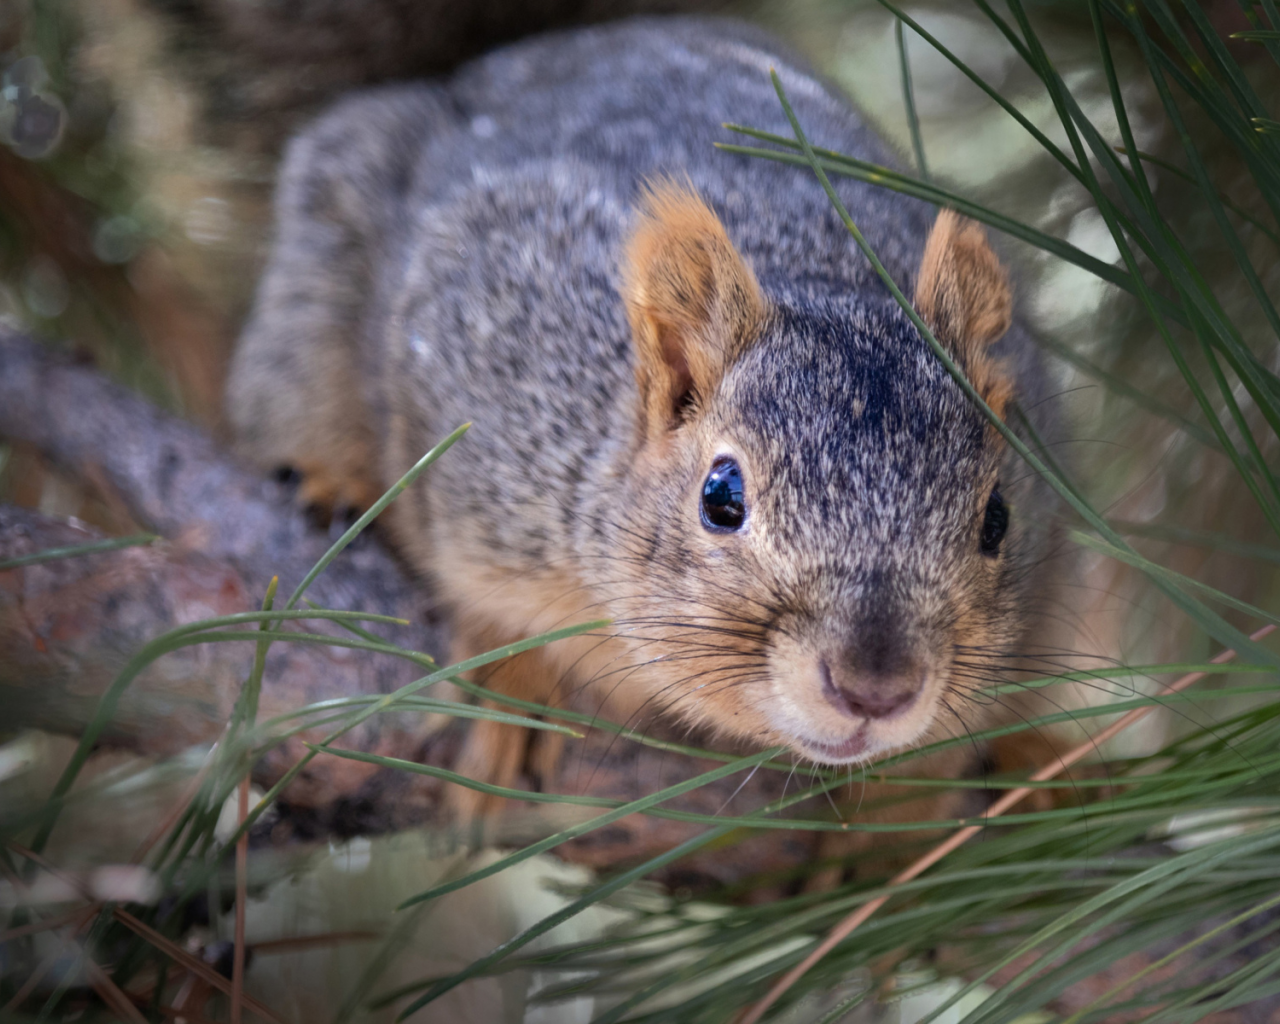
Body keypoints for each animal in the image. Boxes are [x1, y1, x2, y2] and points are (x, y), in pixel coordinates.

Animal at [227, 14, 1059, 814]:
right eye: (721, 497)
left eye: (998, 519)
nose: (875, 689)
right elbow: (488, 603)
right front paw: (513, 691)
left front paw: (899, 807)